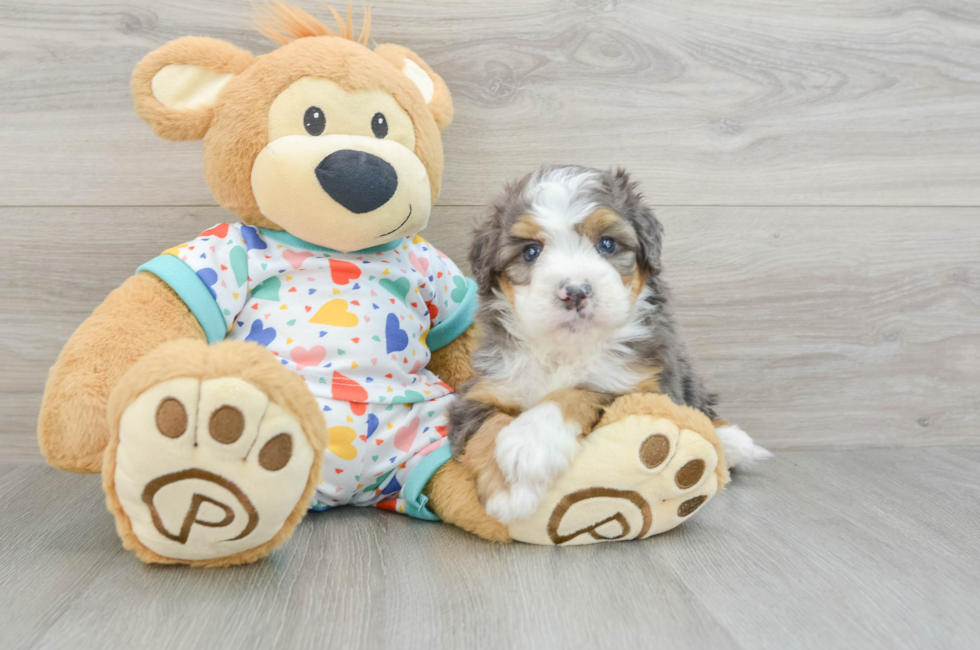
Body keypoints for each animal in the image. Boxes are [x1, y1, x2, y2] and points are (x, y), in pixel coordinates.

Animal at [448, 163, 768, 520]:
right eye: (531, 251)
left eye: (607, 244)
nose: (575, 291)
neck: (566, 349)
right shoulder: (482, 390)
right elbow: (485, 428)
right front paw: (508, 489)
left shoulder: (640, 385)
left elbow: (583, 389)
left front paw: (530, 443)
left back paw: (733, 441)